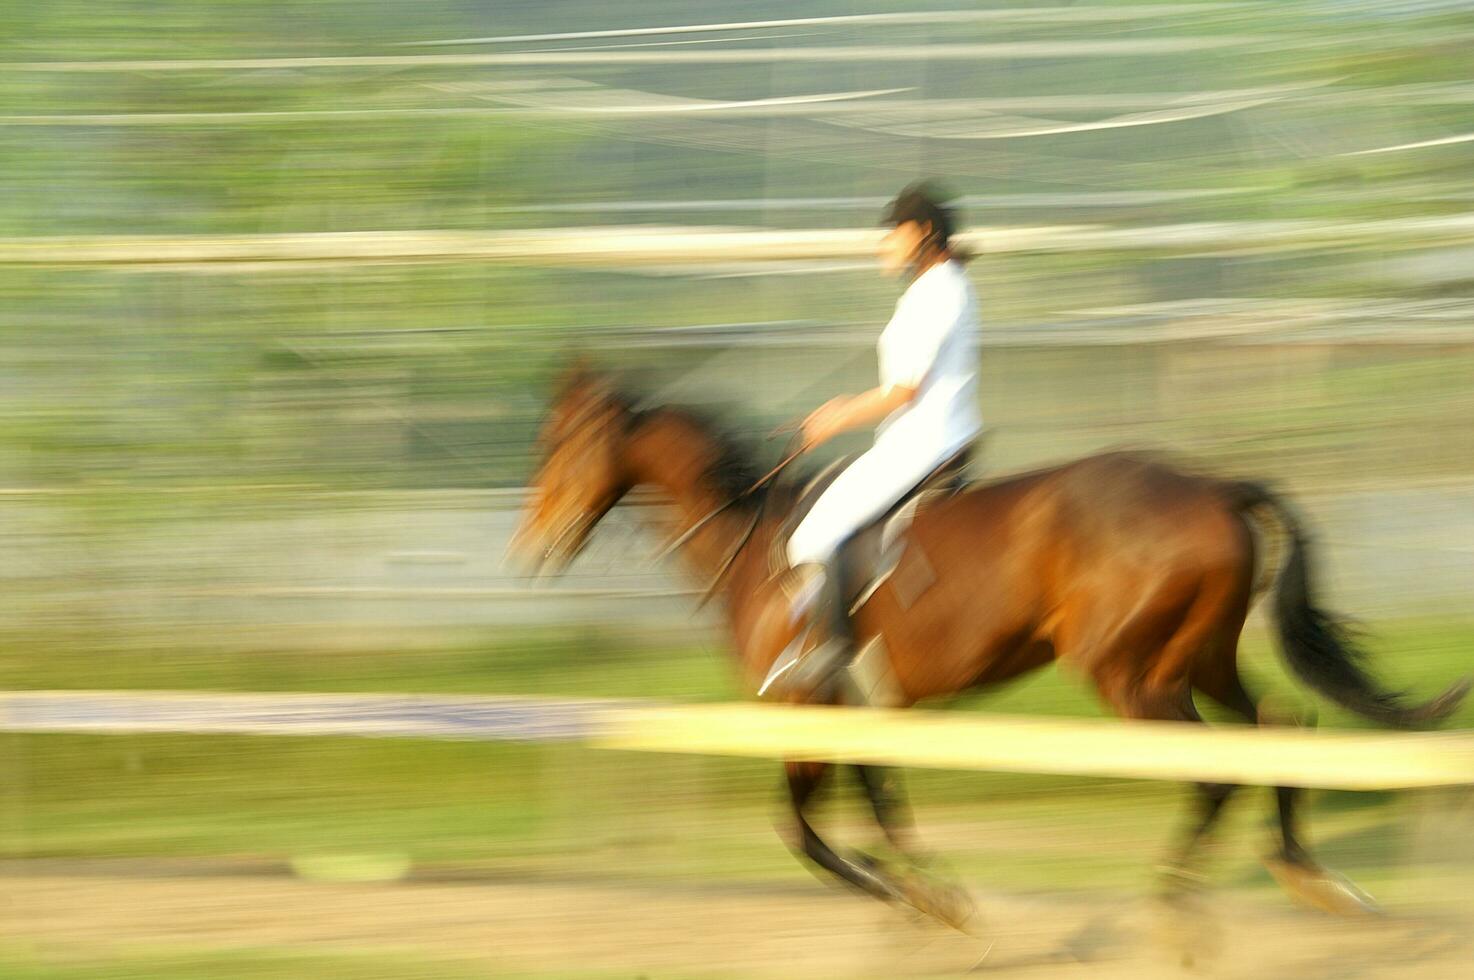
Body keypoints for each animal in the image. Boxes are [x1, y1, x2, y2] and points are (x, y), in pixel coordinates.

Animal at [507, 362, 1462, 931]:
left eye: (560, 444)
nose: (529, 547)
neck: (761, 549)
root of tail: (1214, 486)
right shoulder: (862, 708)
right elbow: (877, 807)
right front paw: (925, 888)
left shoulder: (806, 704)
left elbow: (803, 829)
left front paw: (909, 891)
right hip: (1199, 657)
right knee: (1278, 723)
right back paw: (1308, 875)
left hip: (1130, 672)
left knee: (1215, 768)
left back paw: (1175, 895)